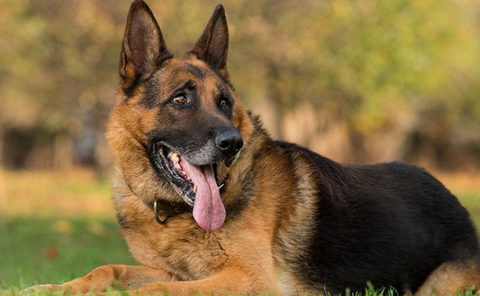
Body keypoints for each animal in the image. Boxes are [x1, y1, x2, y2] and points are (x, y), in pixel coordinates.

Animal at [30, 0, 480, 294]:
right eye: (180, 99)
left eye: (224, 103)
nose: (232, 143)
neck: (176, 214)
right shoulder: (176, 272)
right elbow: (107, 270)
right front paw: (50, 287)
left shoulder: (246, 278)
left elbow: (151, 291)